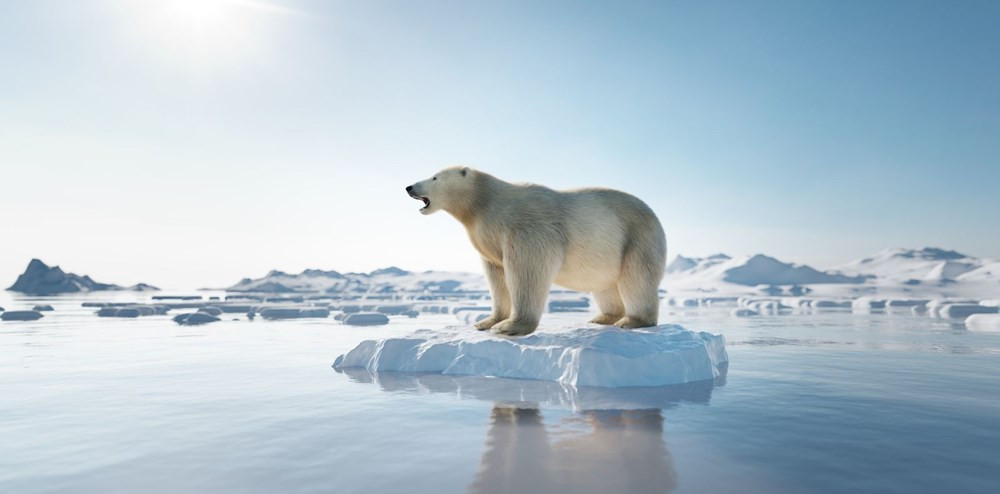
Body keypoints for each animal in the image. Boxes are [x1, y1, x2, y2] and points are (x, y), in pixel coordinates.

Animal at [406, 167, 664, 336]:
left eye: (434, 177)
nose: (409, 187)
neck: (484, 203)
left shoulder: (526, 227)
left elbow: (527, 269)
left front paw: (509, 326)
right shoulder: (488, 239)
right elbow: (496, 276)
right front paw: (486, 321)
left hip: (638, 238)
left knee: (636, 279)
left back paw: (631, 321)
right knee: (604, 285)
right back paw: (601, 318)